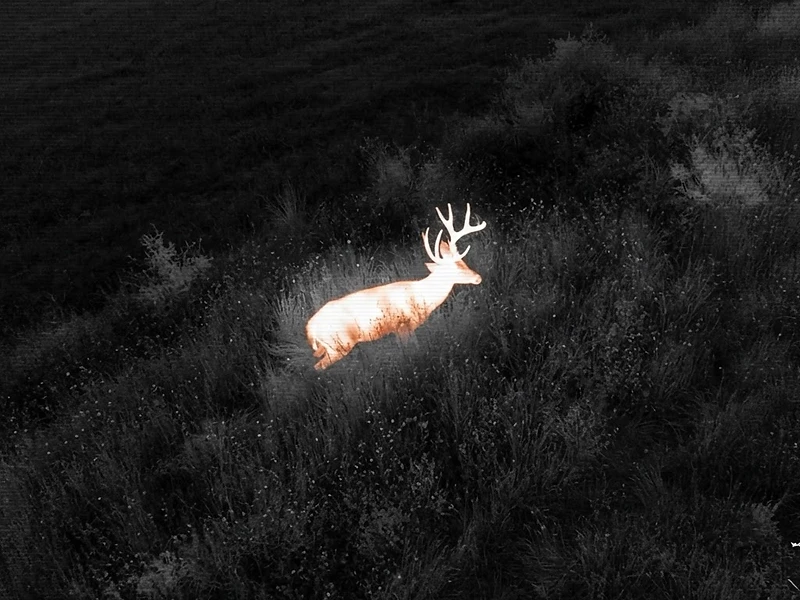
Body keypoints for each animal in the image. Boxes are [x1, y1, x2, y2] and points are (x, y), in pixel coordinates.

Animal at [305, 203, 487, 370]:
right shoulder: (403, 326)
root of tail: (310, 329)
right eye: (457, 266)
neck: (422, 296)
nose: (477, 277)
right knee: (319, 367)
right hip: (340, 344)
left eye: (463, 262)